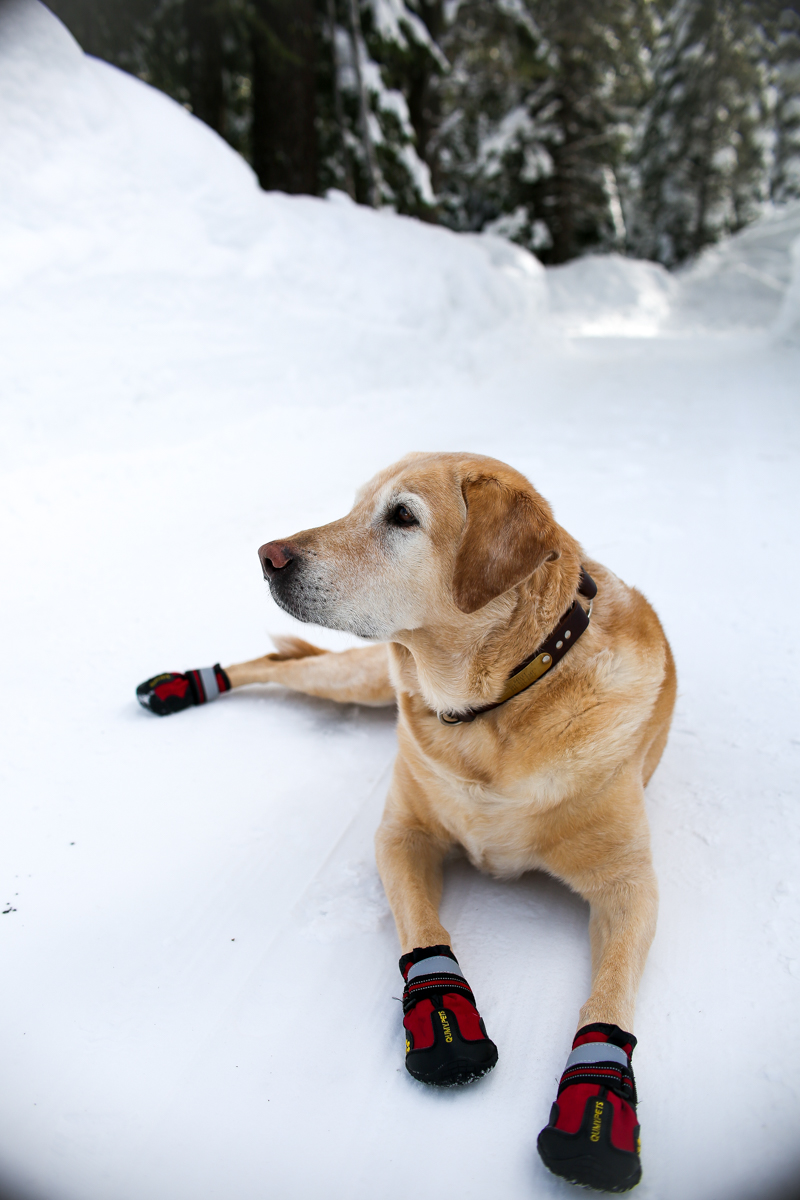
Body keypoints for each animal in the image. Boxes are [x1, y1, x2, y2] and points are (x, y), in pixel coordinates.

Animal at [137, 453, 676, 1195]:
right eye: (354, 505)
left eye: (402, 517)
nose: (267, 556)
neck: (489, 714)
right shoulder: (400, 835)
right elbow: (424, 932)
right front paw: (444, 1017)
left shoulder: (631, 886)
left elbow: (610, 996)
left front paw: (596, 1103)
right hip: (361, 677)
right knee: (282, 664)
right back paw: (183, 682)